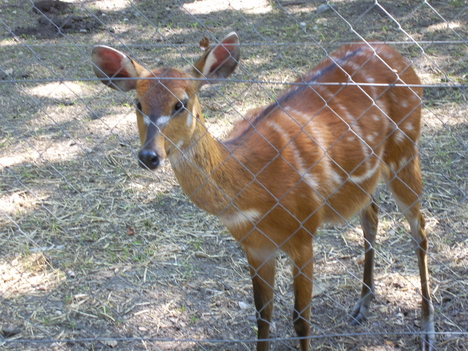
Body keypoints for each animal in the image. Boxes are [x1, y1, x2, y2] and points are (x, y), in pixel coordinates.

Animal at [90, 31, 436, 350]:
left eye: (180, 103)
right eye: (138, 103)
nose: (149, 156)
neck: (254, 188)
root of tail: (397, 55)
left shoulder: (303, 234)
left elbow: (300, 319)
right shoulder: (255, 246)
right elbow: (262, 315)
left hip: (405, 150)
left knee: (419, 228)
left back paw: (427, 329)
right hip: (367, 177)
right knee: (371, 216)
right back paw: (362, 306)